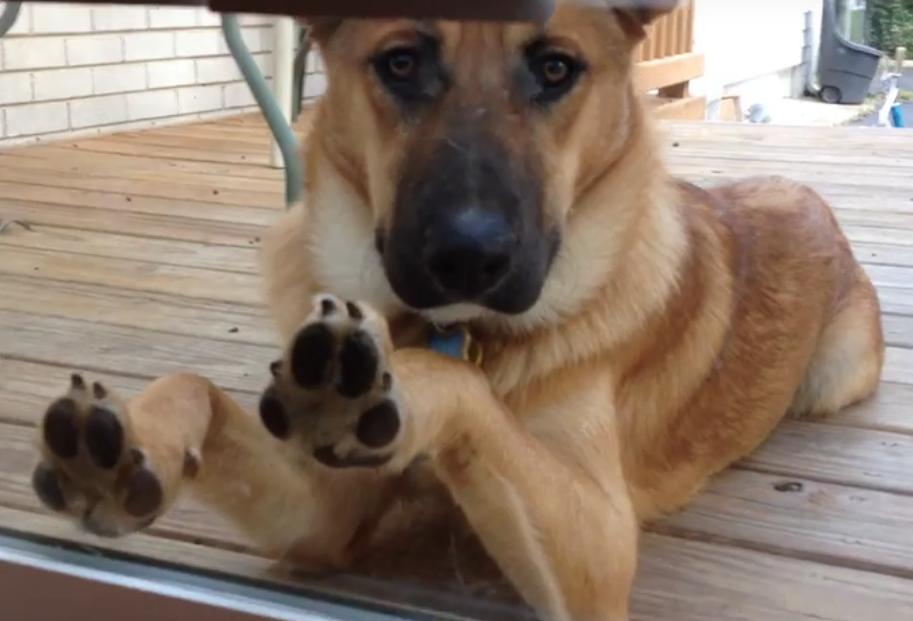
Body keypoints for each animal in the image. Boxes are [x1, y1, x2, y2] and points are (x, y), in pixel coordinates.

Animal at [33, 4, 884, 620]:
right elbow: (196, 387)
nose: (468, 257)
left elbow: (455, 387)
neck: (454, 329)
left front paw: (380, 385)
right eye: (401, 62)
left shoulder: (601, 549)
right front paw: (126, 440)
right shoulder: (323, 514)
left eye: (554, 68)